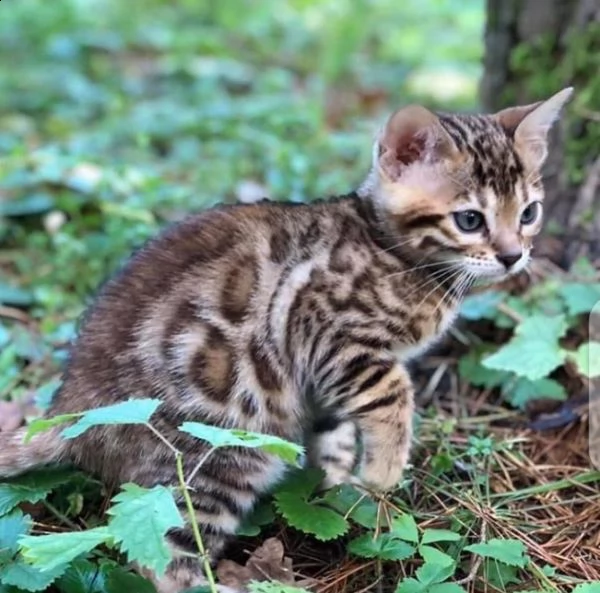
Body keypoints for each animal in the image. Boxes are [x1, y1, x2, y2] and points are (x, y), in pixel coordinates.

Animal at [0, 89, 572, 592]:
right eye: (469, 219)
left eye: (529, 213)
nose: (513, 256)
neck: (392, 250)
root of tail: (72, 405)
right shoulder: (331, 334)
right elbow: (394, 396)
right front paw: (382, 473)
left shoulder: (322, 382)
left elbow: (335, 435)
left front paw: (339, 485)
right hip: (221, 451)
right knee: (162, 554)